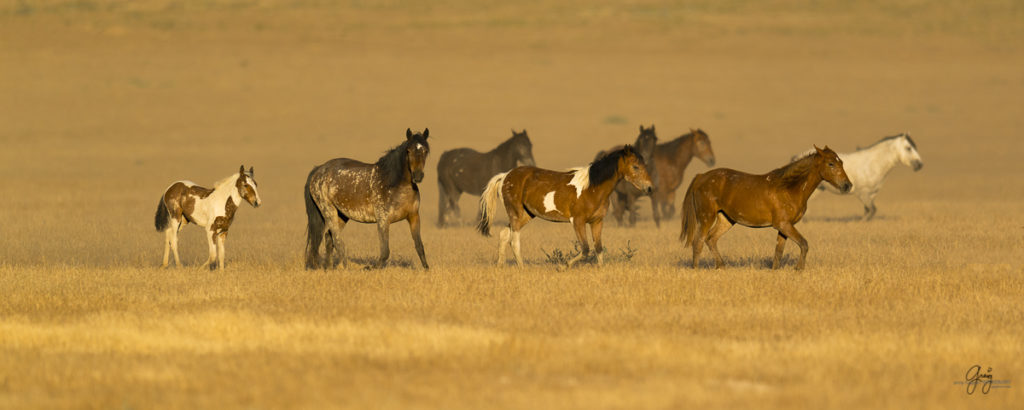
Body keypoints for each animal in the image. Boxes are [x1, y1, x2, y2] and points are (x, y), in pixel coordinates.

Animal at [303, 128, 432, 268]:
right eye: (408, 150)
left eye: (425, 151)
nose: (418, 176)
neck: (394, 184)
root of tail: (318, 170)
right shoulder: (383, 220)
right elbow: (385, 252)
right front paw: (369, 268)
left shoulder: (414, 217)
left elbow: (419, 247)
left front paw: (427, 270)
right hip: (328, 211)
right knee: (337, 242)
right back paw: (346, 269)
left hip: (342, 215)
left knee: (329, 238)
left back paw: (329, 268)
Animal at [477, 144, 651, 268]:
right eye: (635, 166)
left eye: (645, 165)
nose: (649, 188)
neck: (592, 188)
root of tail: (505, 176)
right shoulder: (577, 221)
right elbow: (586, 248)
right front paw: (563, 266)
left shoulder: (597, 221)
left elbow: (598, 248)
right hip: (516, 212)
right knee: (514, 240)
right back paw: (522, 268)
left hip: (526, 214)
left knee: (504, 235)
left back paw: (500, 266)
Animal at [679, 145, 856, 270]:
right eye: (831, 163)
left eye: (841, 162)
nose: (847, 185)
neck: (790, 188)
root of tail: (701, 176)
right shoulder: (783, 224)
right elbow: (804, 244)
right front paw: (799, 268)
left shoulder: (784, 227)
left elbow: (778, 253)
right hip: (706, 217)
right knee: (698, 242)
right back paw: (696, 270)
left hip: (726, 219)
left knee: (711, 239)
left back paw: (721, 266)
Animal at [794, 133, 925, 221]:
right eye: (908, 148)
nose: (919, 165)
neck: (873, 164)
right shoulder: (863, 193)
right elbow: (871, 210)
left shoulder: (872, 194)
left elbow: (869, 211)